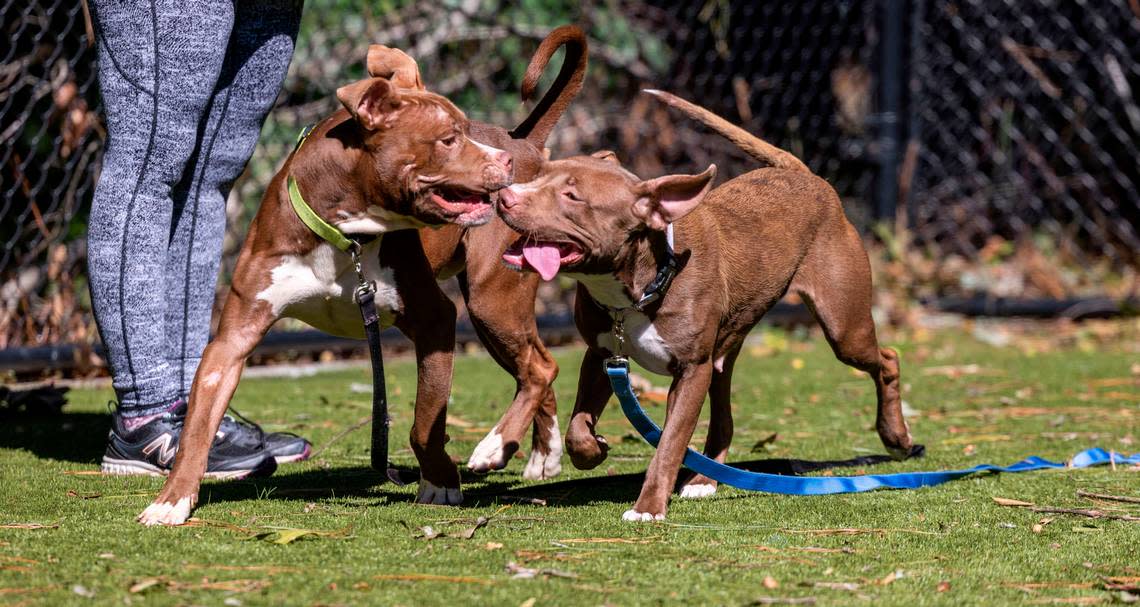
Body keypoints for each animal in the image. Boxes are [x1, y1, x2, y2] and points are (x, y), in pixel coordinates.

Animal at [371, 27, 592, 479]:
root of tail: (521, 144)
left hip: (491, 302)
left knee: (540, 369)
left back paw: (492, 449)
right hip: (493, 315)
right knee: (536, 369)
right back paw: (542, 457)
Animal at [494, 91, 912, 522]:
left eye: (572, 196)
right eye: (539, 175)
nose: (505, 197)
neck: (644, 283)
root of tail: (803, 174)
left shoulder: (691, 371)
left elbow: (670, 442)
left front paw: (648, 507)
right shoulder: (602, 355)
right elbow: (578, 427)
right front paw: (595, 449)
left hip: (844, 327)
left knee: (888, 358)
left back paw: (896, 437)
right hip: (725, 352)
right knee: (724, 415)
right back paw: (702, 480)